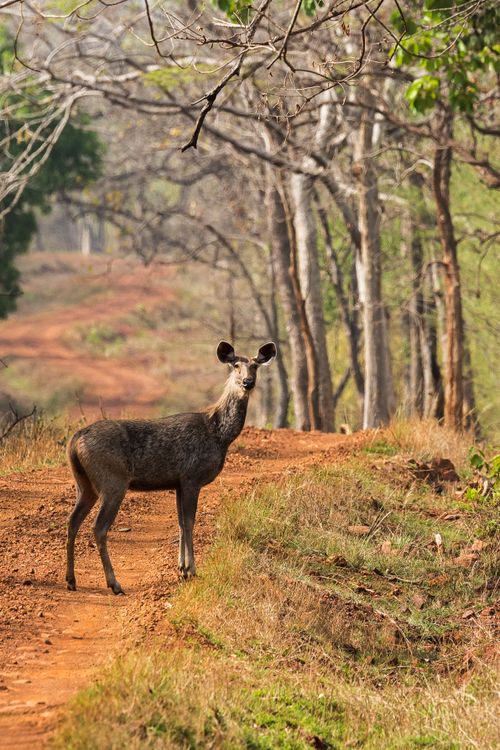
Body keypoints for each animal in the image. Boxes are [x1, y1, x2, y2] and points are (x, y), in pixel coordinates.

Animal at [65, 340, 277, 595]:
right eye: (235, 365)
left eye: (255, 365)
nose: (248, 382)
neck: (219, 435)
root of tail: (75, 440)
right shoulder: (191, 477)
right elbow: (189, 521)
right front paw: (191, 570)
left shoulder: (178, 482)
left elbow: (180, 522)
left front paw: (182, 568)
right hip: (112, 481)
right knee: (98, 527)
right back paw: (114, 584)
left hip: (84, 483)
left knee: (72, 521)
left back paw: (71, 580)